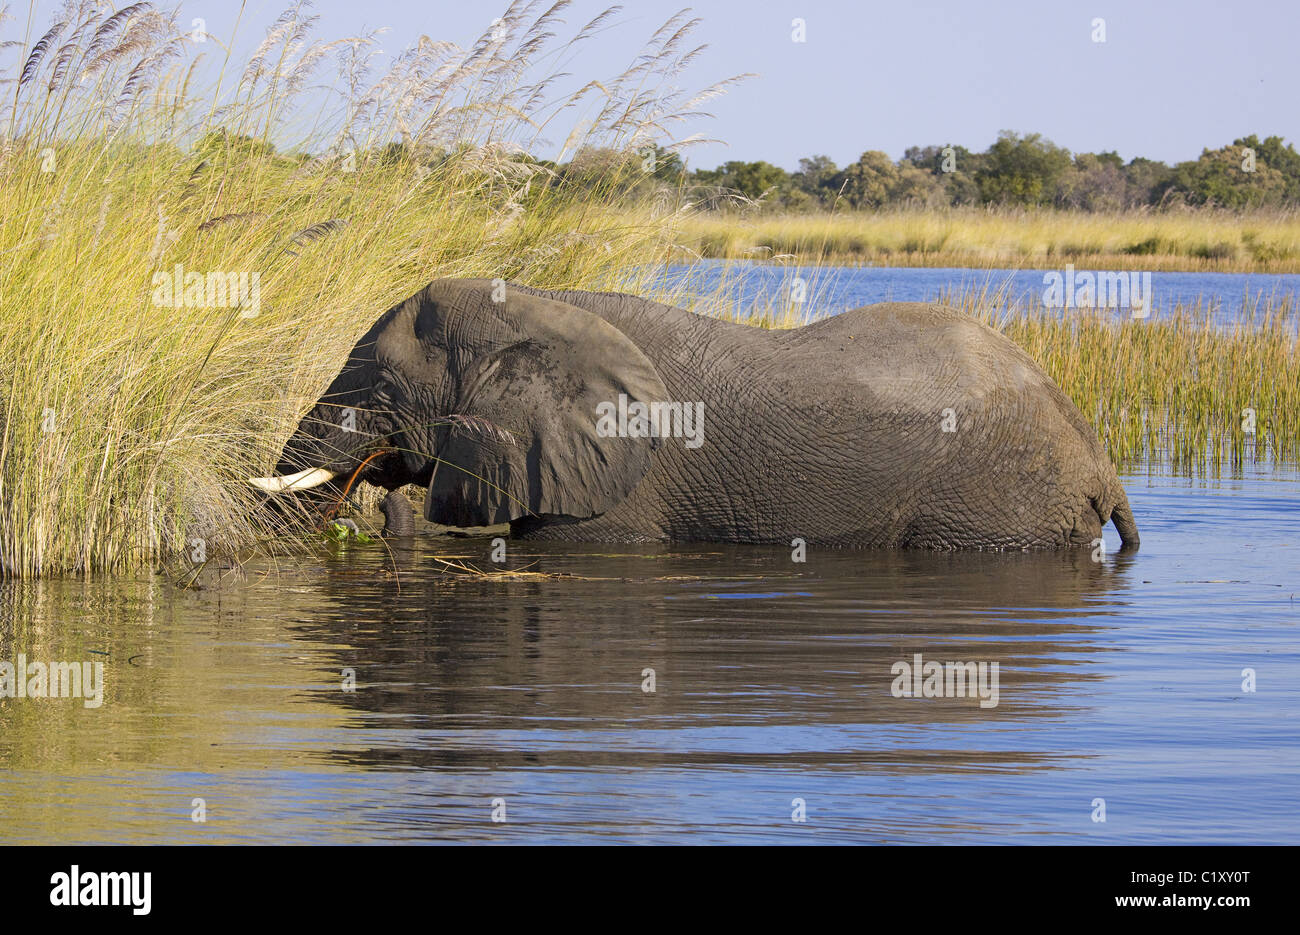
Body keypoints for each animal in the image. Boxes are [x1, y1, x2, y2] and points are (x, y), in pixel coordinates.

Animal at [249, 278, 1139, 551]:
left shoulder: (618, 489)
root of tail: (1101, 459)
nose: (372, 485)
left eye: (381, 392)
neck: (532, 308)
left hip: (992, 505)